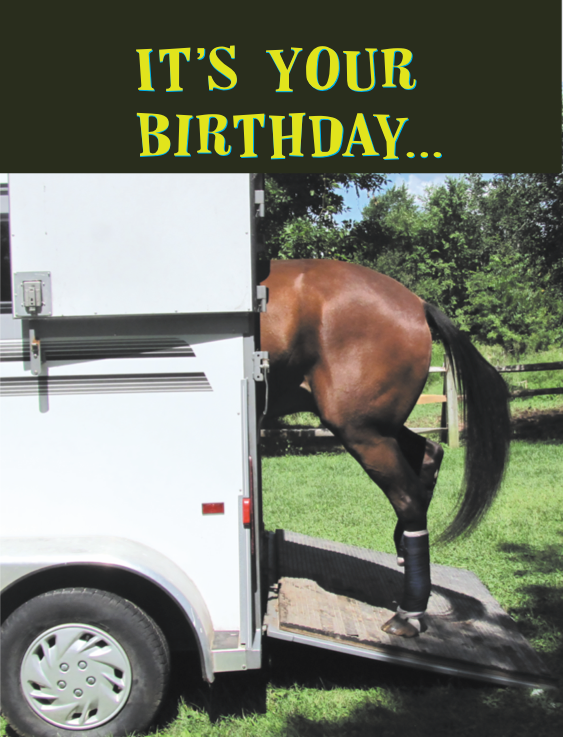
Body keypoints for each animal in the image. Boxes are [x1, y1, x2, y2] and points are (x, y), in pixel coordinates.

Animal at [260, 259, 511, 637]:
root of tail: (417, 304)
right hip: (379, 428)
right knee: (430, 452)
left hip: (362, 432)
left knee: (408, 496)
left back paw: (409, 612)